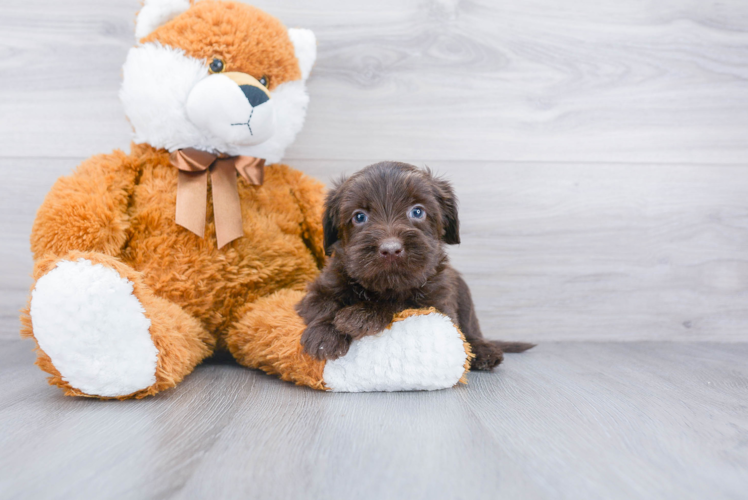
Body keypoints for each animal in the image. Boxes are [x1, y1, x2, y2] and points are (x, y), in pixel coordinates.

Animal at [296, 162, 536, 370]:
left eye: (417, 211)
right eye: (359, 217)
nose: (390, 249)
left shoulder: (436, 304)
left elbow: (402, 303)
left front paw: (363, 314)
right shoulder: (319, 289)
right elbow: (323, 304)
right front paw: (325, 335)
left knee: (468, 333)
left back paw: (483, 351)